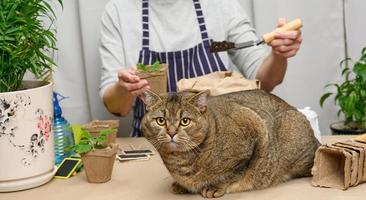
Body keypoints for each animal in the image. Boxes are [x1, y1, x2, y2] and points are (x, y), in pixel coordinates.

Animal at [142, 89, 318, 198]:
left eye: (185, 121)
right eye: (160, 120)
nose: (171, 132)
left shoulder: (255, 127)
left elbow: (233, 173)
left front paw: (215, 187)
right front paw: (182, 186)